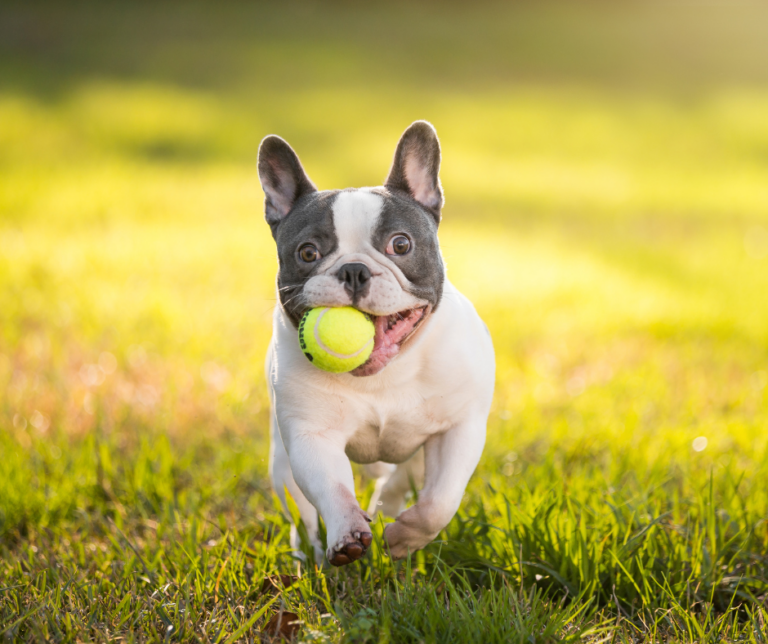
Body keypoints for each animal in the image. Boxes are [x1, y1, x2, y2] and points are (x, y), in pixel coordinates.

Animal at [258, 119, 496, 564]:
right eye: (307, 253)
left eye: (400, 244)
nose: (354, 270)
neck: (385, 373)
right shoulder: (311, 436)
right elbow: (332, 488)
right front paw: (347, 534)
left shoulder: (458, 429)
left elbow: (440, 501)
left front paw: (404, 538)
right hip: (281, 462)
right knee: (300, 510)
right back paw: (308, 551)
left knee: (403, 481)